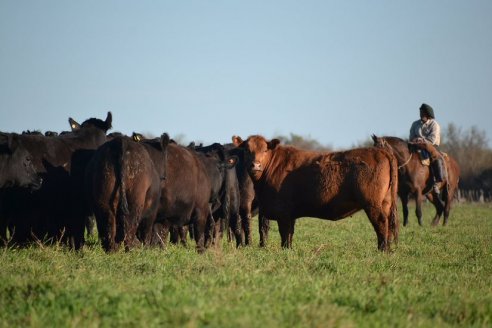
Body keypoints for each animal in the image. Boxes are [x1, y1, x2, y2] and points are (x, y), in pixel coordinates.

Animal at [233, 135, 398, 250]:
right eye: (246, 150)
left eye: (265, 149)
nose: (255, 165)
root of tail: (381, 152)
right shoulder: (290, 214)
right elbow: (290, 235)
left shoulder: (283, 213)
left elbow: (285, 234)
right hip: (386, 203)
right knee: (389, 225)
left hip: (372, 204)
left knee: (381, 223)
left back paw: (382, 249)